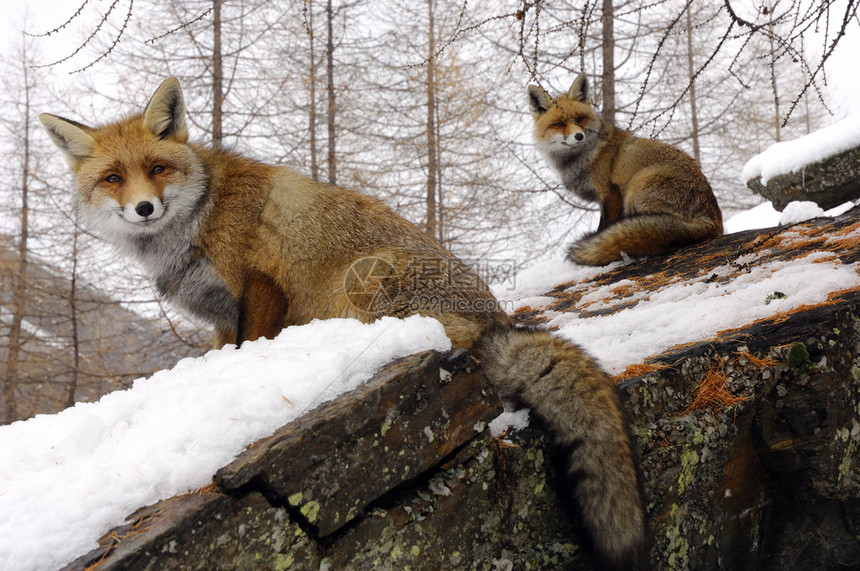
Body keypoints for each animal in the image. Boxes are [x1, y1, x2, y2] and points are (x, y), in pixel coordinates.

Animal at [40, 78, 644, 568]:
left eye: (158, 169)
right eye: (114, 178)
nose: (144, 208)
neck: (195, 223)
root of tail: (498, 323)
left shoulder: (260, 286)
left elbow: (251, 344)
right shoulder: (220, 318)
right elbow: (223, 351)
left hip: (365, 281)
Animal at [528, 72, 724, 268]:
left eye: (580, 118)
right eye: (559, 124)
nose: (579, 136)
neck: (586, 157)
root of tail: (713, 220)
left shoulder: (610, 193)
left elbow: (604, 228)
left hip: (636, 188)